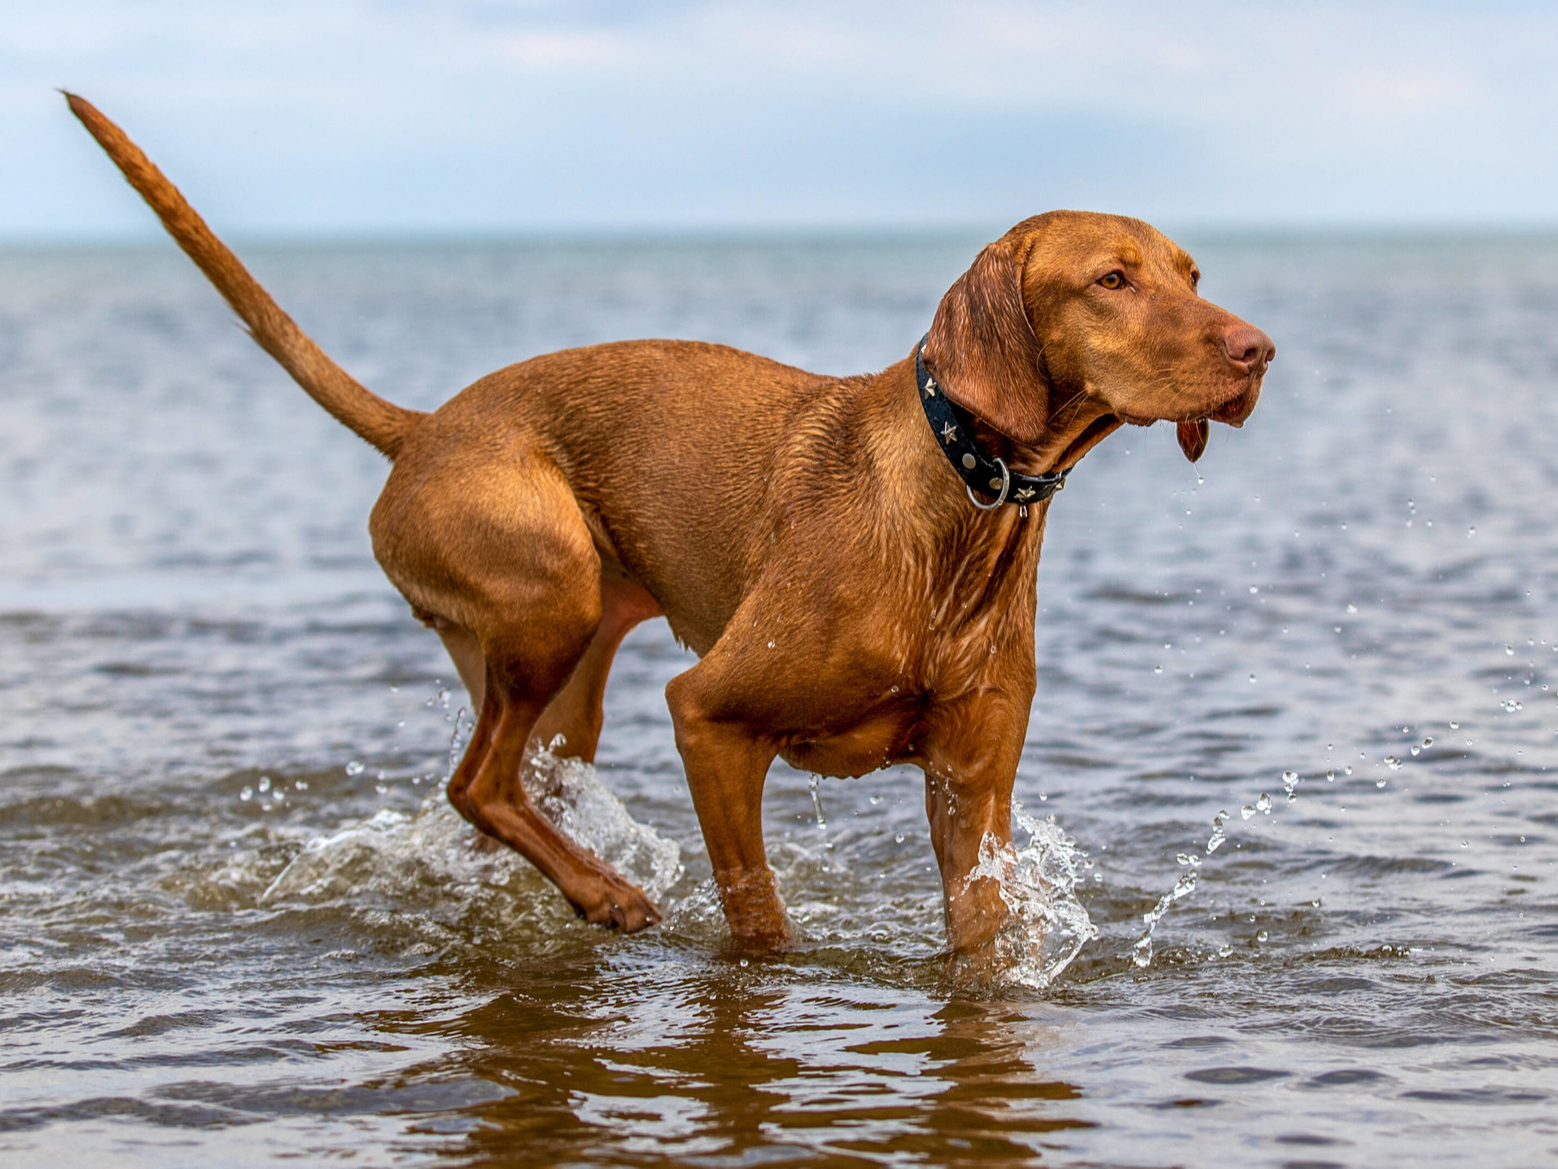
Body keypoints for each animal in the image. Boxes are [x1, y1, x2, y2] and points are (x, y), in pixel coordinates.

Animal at [66, 96, 1271, 960]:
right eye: (1111, 278)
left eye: (1192, 274)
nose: (1257, 349)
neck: (961, 509)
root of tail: (424, 426)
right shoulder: (710, 717)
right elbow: (760, 920)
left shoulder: (972, 785)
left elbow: (980, 940)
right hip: (545, 599)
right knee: (474, 785)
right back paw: (609, 896)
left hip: (562, 684)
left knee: (497, 792)